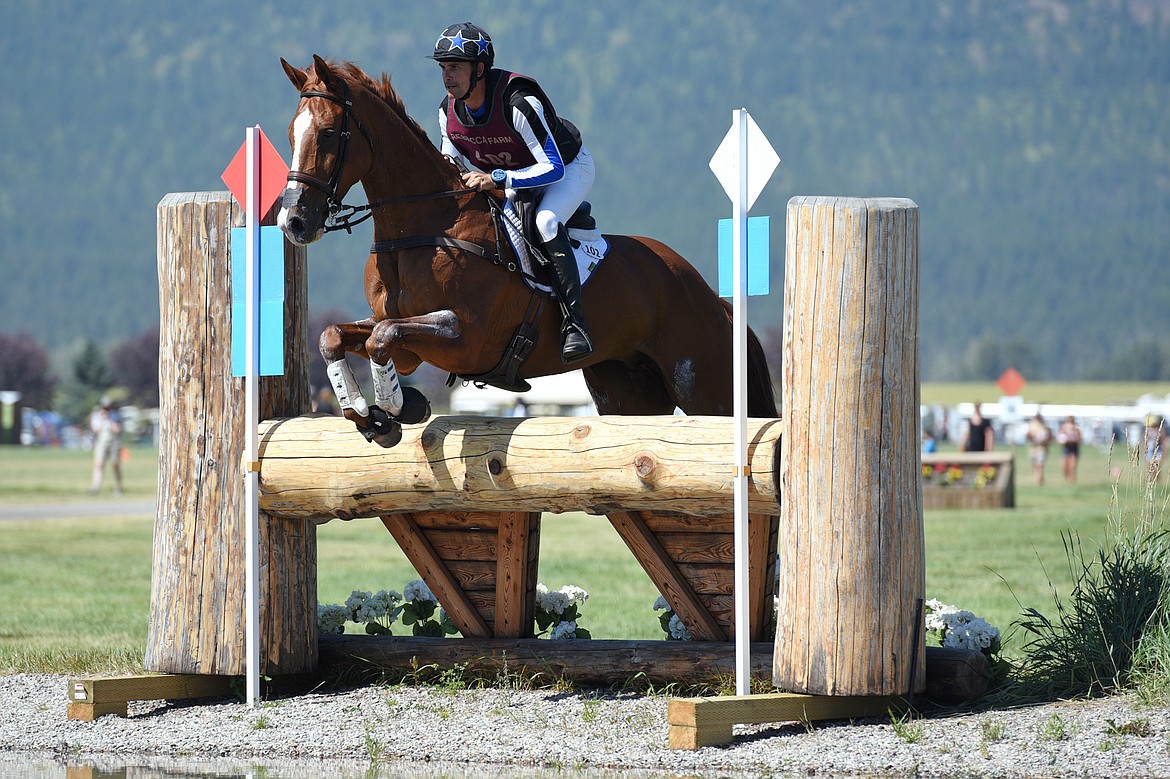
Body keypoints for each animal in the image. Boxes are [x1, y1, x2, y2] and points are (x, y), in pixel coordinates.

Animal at [276, 54, 776, 442]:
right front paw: (370, 414)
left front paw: (401, 408)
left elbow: (383, 337)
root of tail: (711, 297)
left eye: (326, 134)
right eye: (289, 134)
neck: (422, 225)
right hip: (625, 388)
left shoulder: (467, 337)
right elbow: (336, 335)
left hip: (703, 385)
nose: (293, 221)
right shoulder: (401, 332)